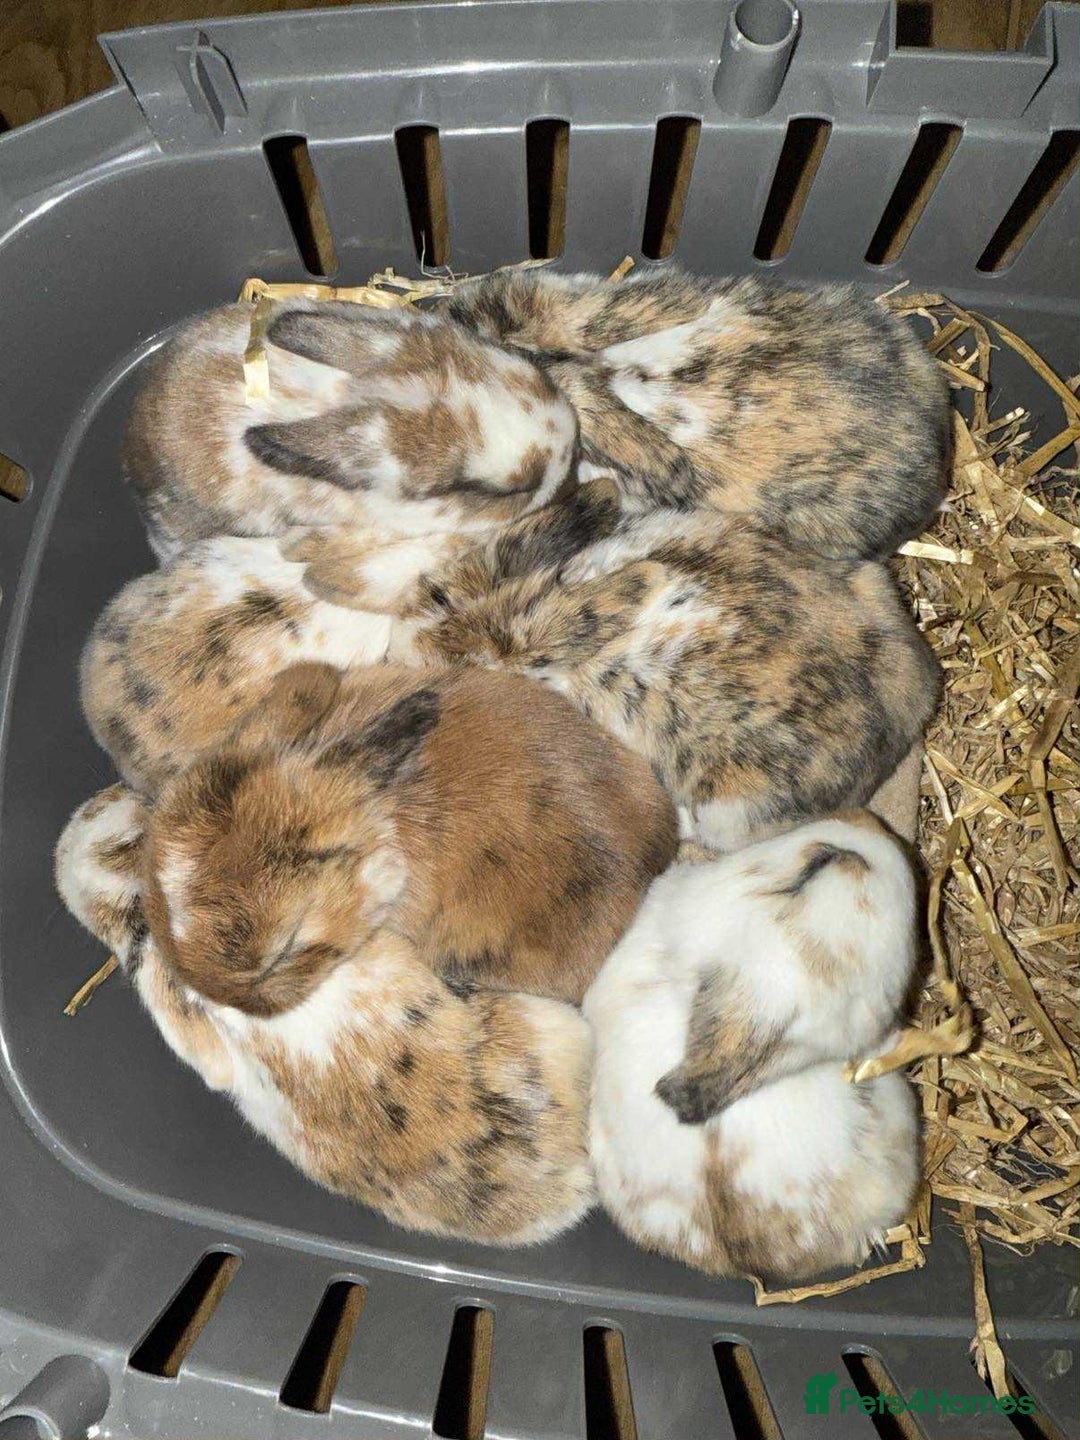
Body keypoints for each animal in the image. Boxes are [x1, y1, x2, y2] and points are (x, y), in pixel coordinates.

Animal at [398, 478, 941, 851]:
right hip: (871, 580)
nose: (407, 644)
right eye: (437, 592)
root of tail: (903, 718)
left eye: (460, 669)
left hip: (733, 812)